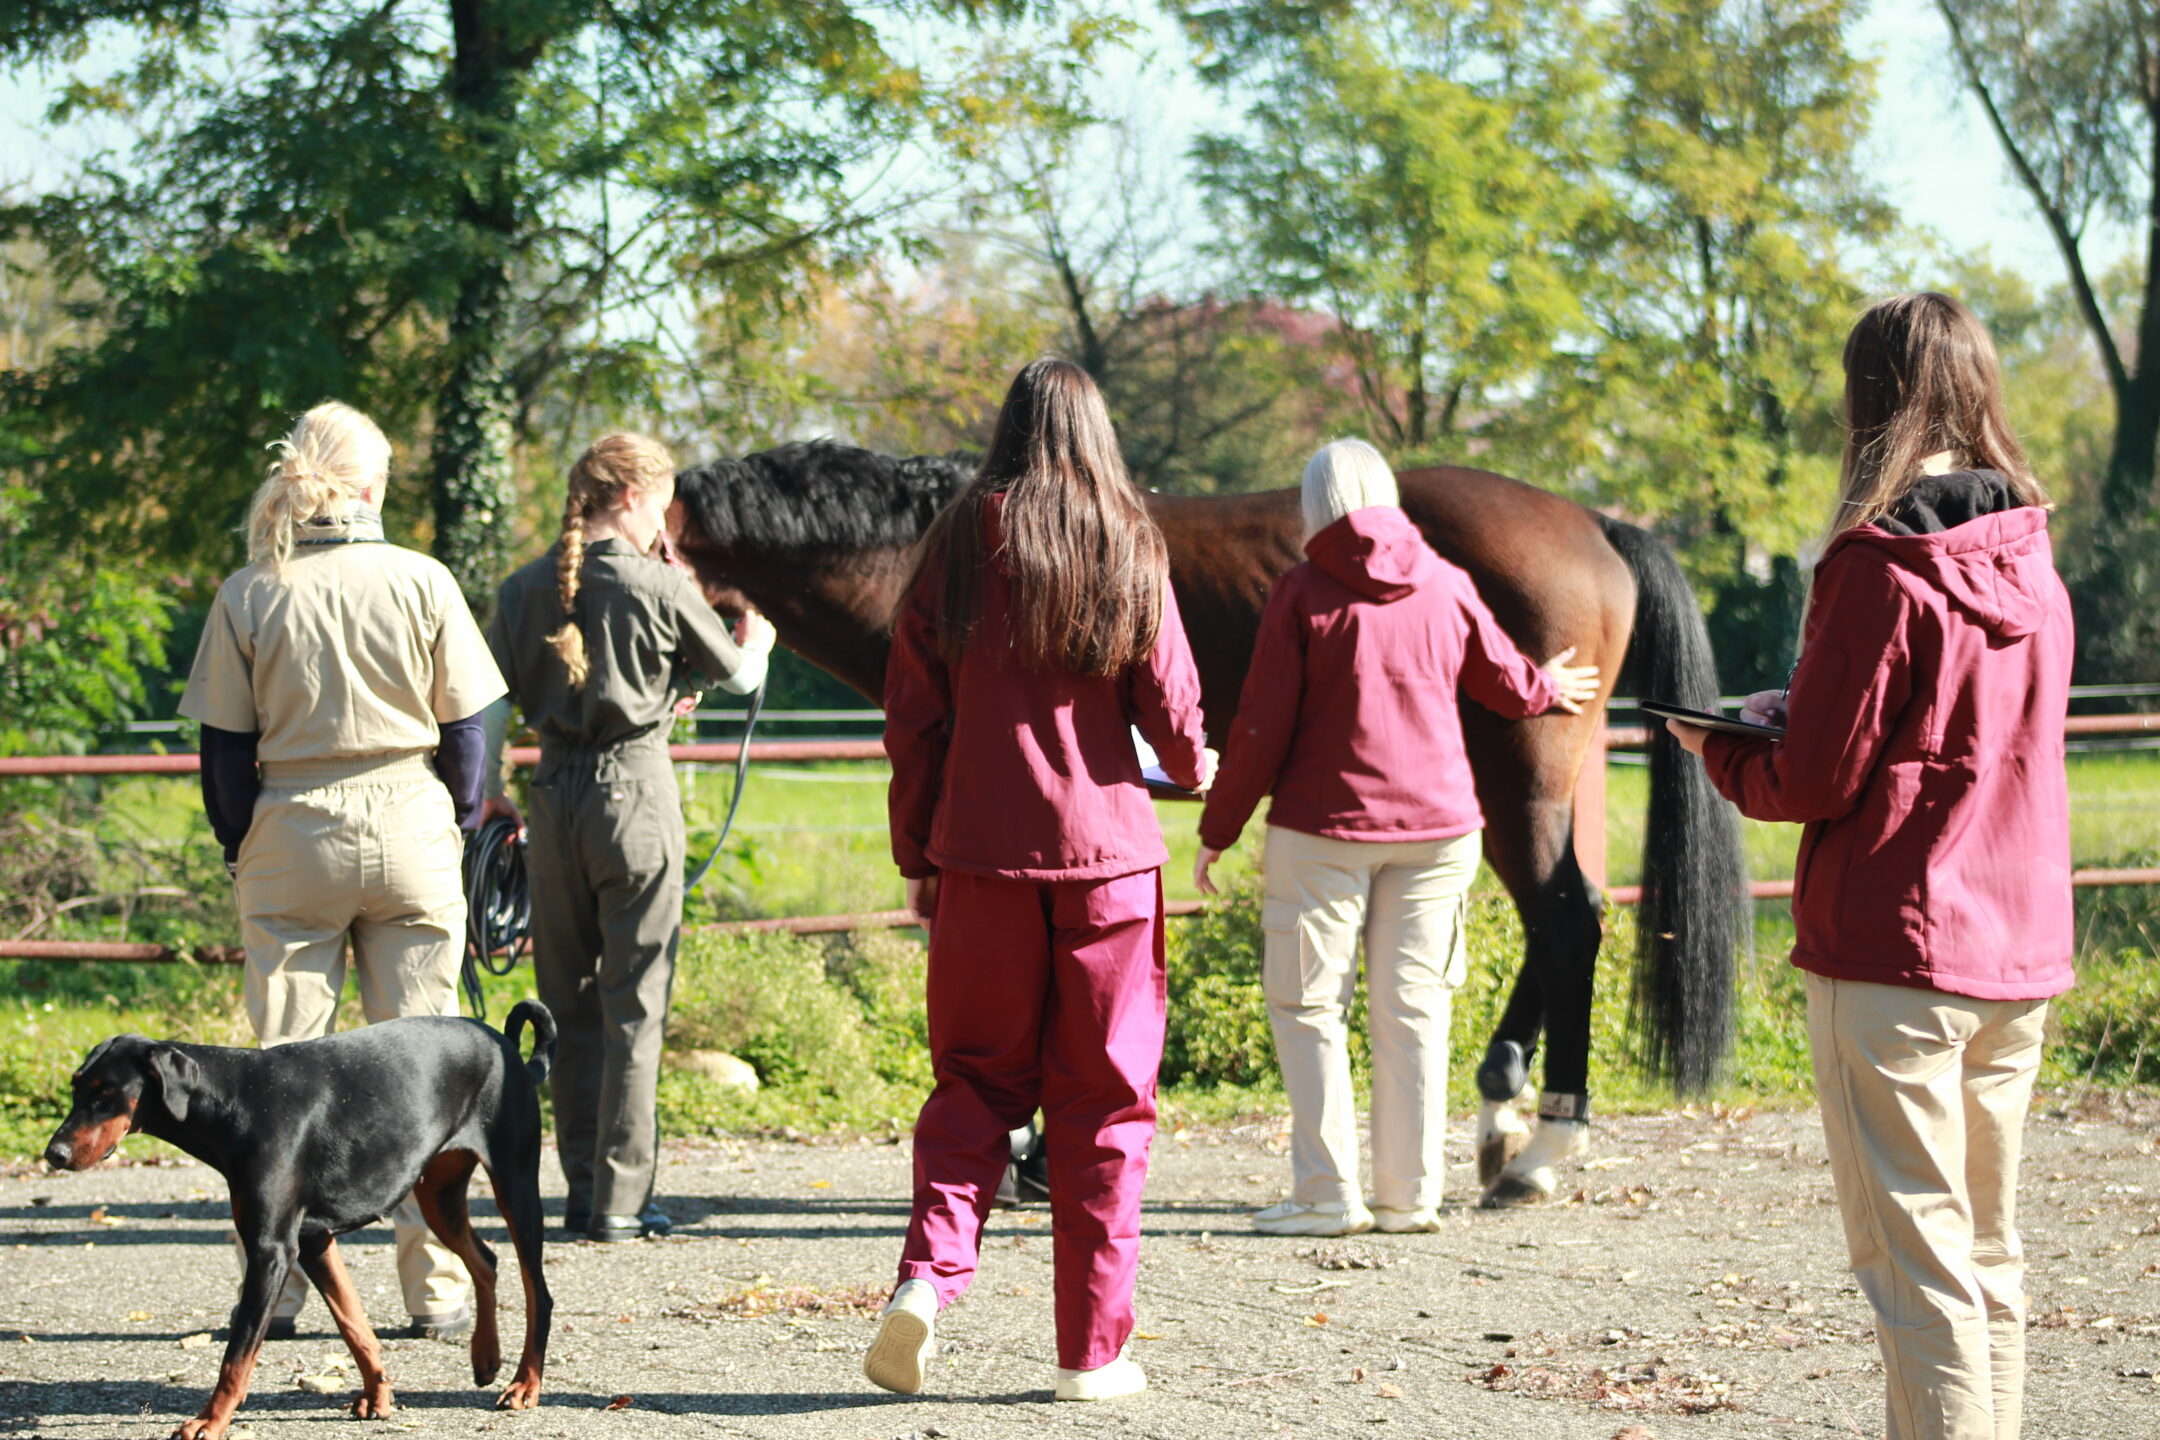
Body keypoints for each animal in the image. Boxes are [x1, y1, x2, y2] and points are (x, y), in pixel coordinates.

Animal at [669, 441, 1744, 1206]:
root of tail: (1594, 523)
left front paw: (1028, 1149)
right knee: (1554, 922)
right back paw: (1501, 1108)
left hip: (1524, 778)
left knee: (1567, 920)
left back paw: (1542, 1145)